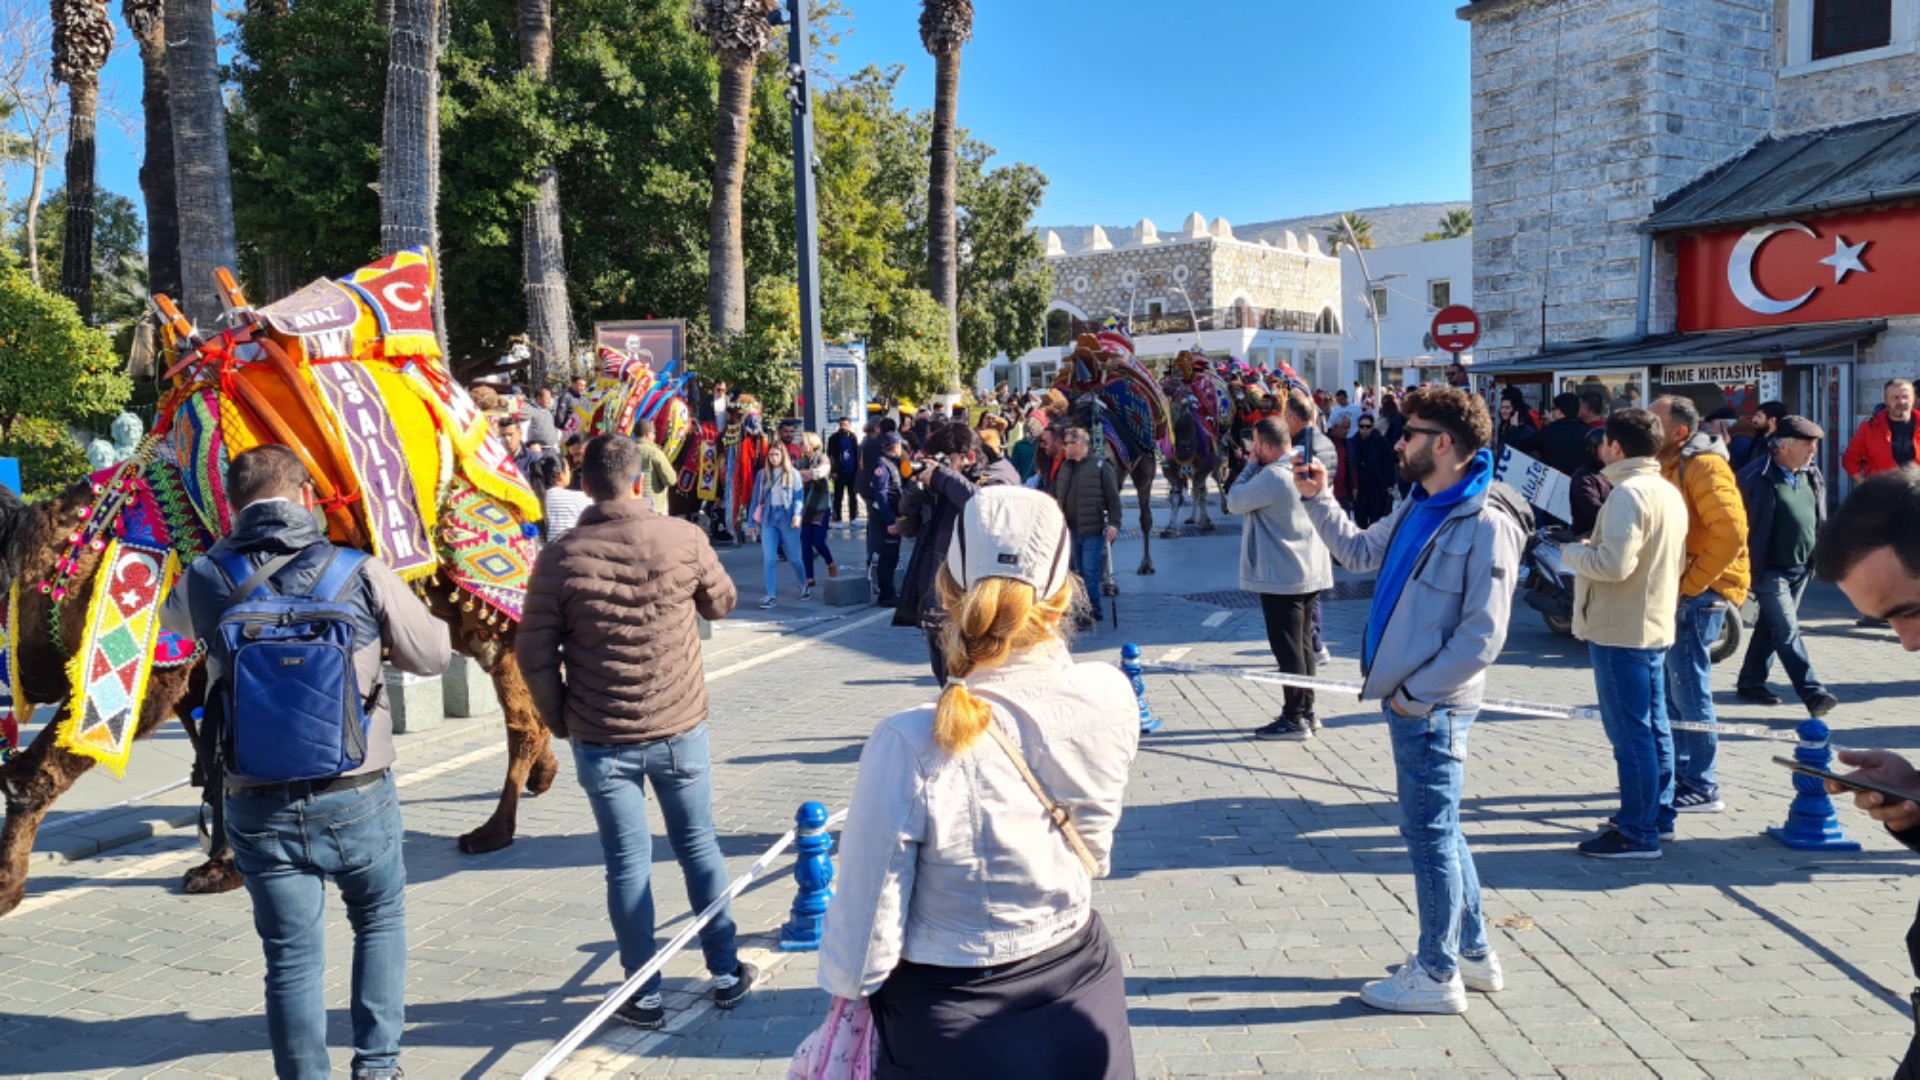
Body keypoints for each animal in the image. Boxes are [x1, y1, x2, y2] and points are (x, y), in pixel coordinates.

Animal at [0, 251, 556, 914]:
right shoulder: (199, 661)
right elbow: (215, 759)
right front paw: (220, 865)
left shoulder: (154, 664)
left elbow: (33, 775)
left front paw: (6, 887)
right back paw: (542, 777)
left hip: (478, 560)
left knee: (513, 685)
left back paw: (495, 828)